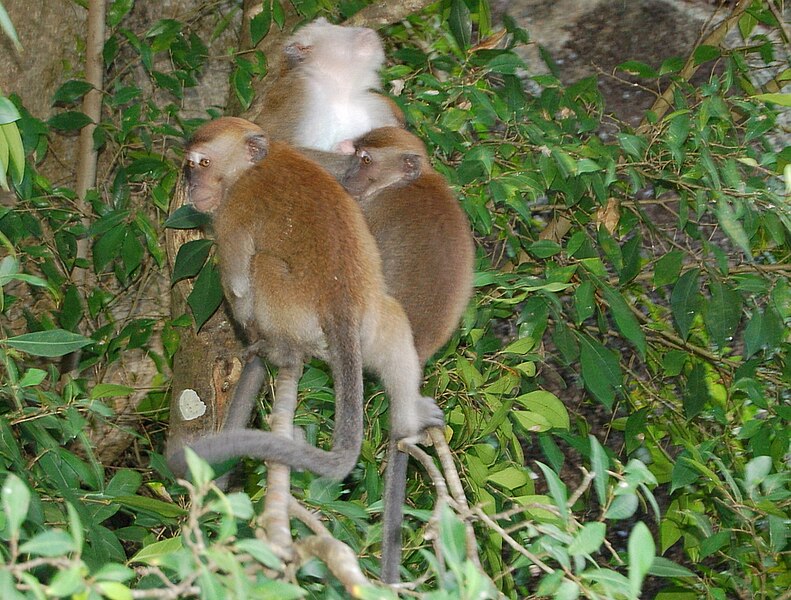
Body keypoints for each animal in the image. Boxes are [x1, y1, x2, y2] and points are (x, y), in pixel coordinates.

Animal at [165, 117, 446, 480]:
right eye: (191, 165)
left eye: (203, 163)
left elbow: (239, 286)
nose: (193, 186)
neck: (254, 165)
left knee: (262, 264)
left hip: (298, 315)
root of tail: (342, 307)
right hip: (374, 324)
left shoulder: (233, 210)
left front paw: (249, 337)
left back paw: (280, 350)